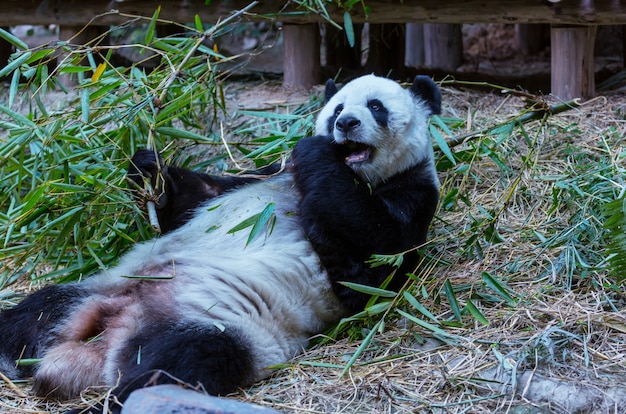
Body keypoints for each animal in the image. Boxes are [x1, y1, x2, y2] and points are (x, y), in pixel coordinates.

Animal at [0, 73, 438, 410]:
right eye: (337, 107)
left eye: (376, 106)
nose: (345, 124)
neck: (365, 176)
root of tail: (111, 336)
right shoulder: (264, 172)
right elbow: (196, 198)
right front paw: (148, 169)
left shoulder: (412, 198)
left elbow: (369, 264)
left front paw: (318, 155)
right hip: (104, 288)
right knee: (40, 311)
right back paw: (12, 355)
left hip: (220, 324)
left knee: (176, 365)